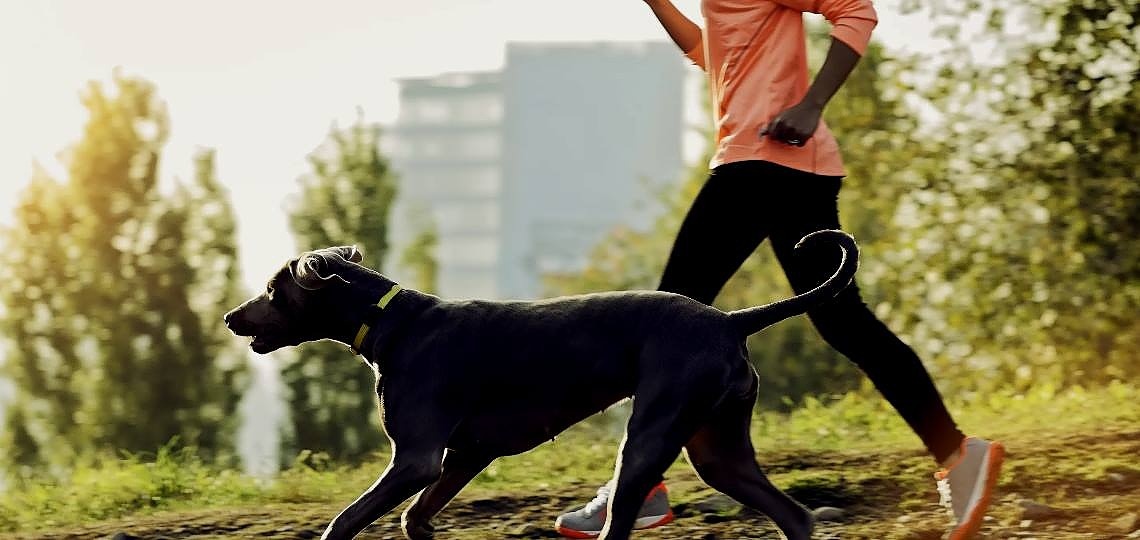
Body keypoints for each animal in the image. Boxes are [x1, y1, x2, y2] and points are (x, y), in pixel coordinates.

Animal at [222, 228, 857, 540]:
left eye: (274, 290)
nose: (230, 317)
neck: (391, 322)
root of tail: (730, 321)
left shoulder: (417, 458)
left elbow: (344, 521)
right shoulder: (465, 455)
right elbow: (413, 519)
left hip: (651, 437)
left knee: (618, 526)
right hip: (716, 448)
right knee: (795, 517)